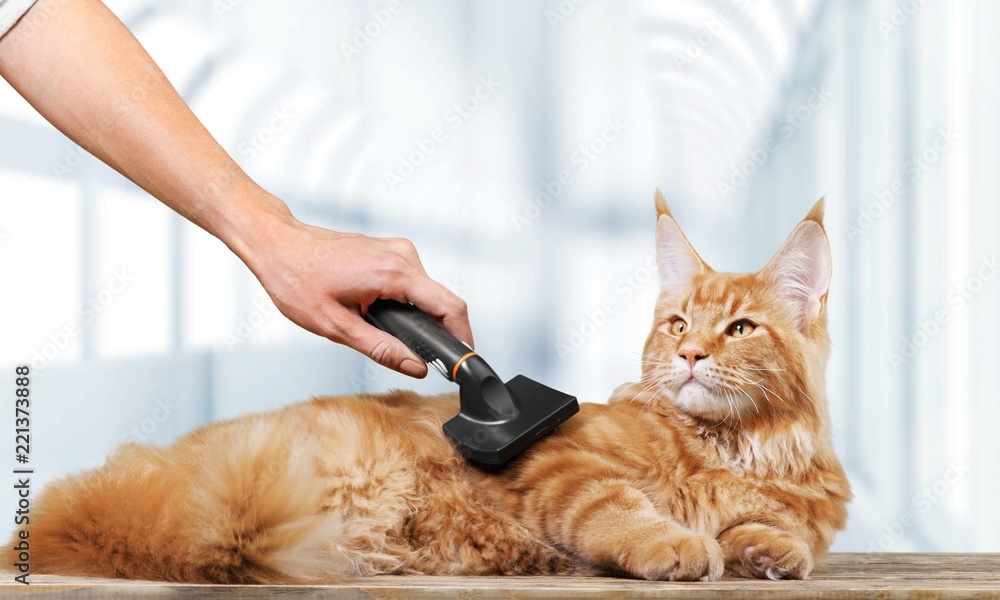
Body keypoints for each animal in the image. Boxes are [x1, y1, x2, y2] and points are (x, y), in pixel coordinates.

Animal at [7, 195, 852, 584]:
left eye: (739, 329)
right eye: (677, 324)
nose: (691, 354)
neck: (734, 447)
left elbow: (769, 530)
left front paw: (765, 551)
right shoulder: (564, 466)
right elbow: (620, 508)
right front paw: (675, 543)